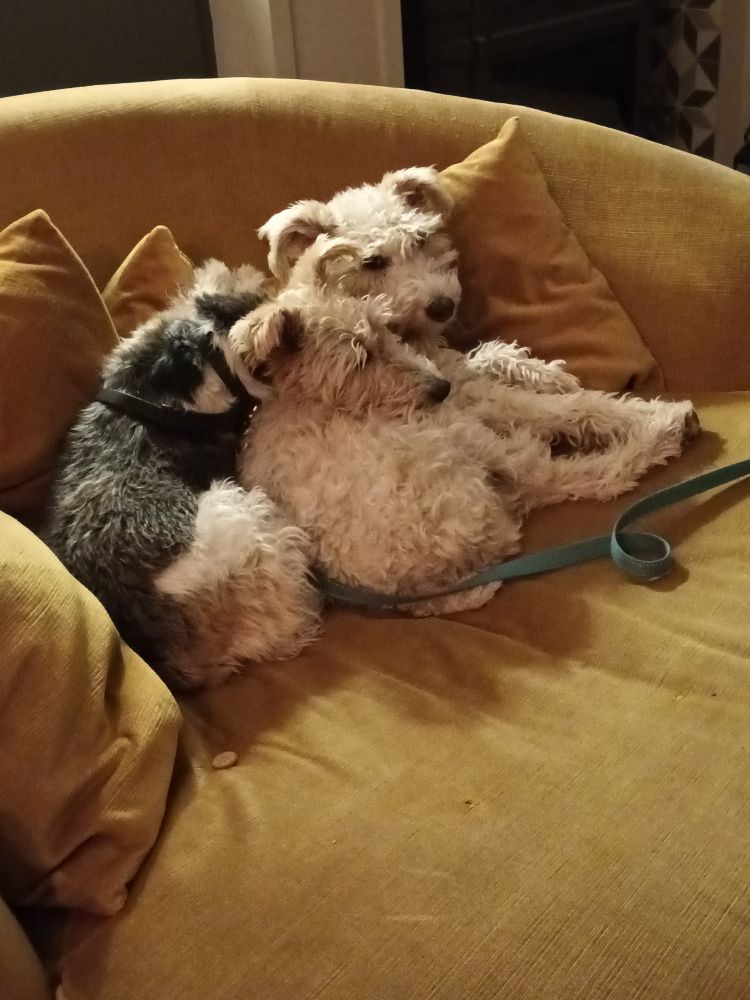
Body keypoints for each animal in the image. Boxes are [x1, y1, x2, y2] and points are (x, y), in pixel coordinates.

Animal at [231, 245, 698, 617]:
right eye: (358, 360)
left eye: (385, 327)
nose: (439, 389)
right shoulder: (474, 403)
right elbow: (574, 408)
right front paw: (622, 409)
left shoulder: (459, 380)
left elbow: (490, 358)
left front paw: (544, 373)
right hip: (461, 444)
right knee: (583, 475)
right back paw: (667, 426)